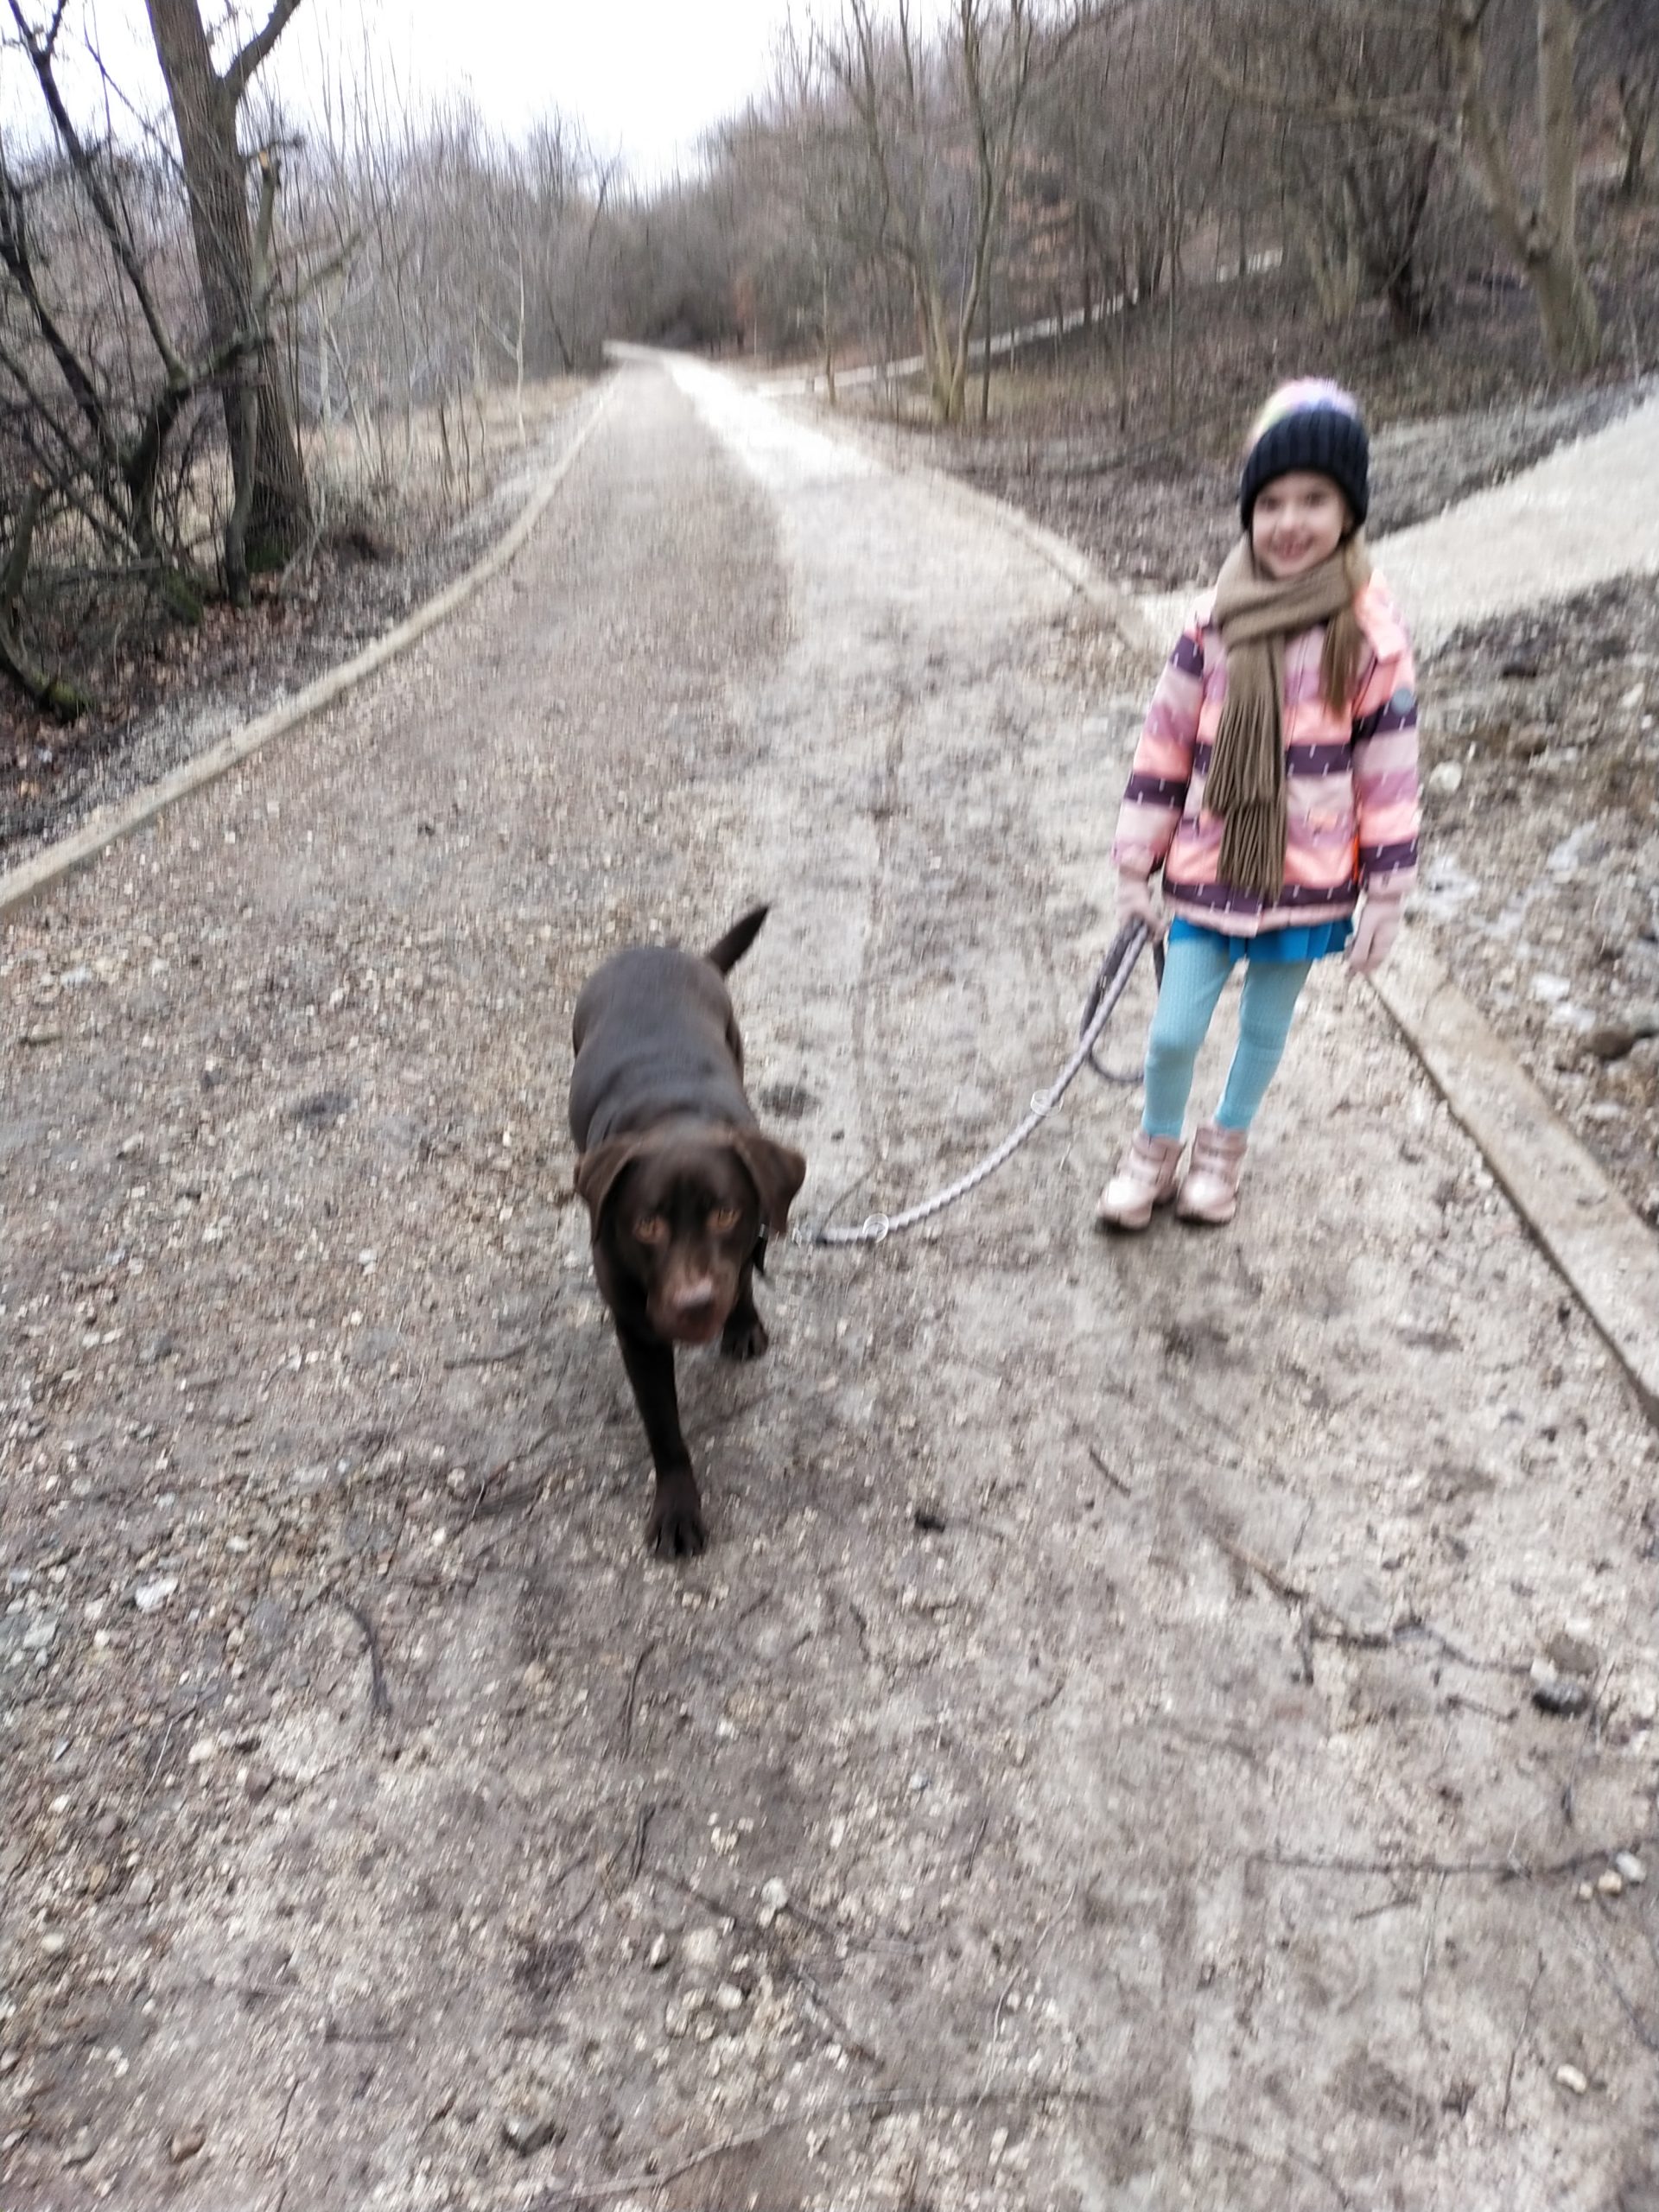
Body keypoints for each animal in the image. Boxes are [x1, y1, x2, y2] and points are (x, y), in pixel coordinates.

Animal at [569, 906, 807, 1558]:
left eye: (725, 1214)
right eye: (646, 1224)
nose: (696, 1305)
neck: (673, 1117)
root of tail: (672, 954)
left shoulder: (752, 1231)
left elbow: (744, 1273)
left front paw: (742, 1323)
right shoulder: (638, 1332)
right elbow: (665, 1431)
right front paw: (677, 1508)